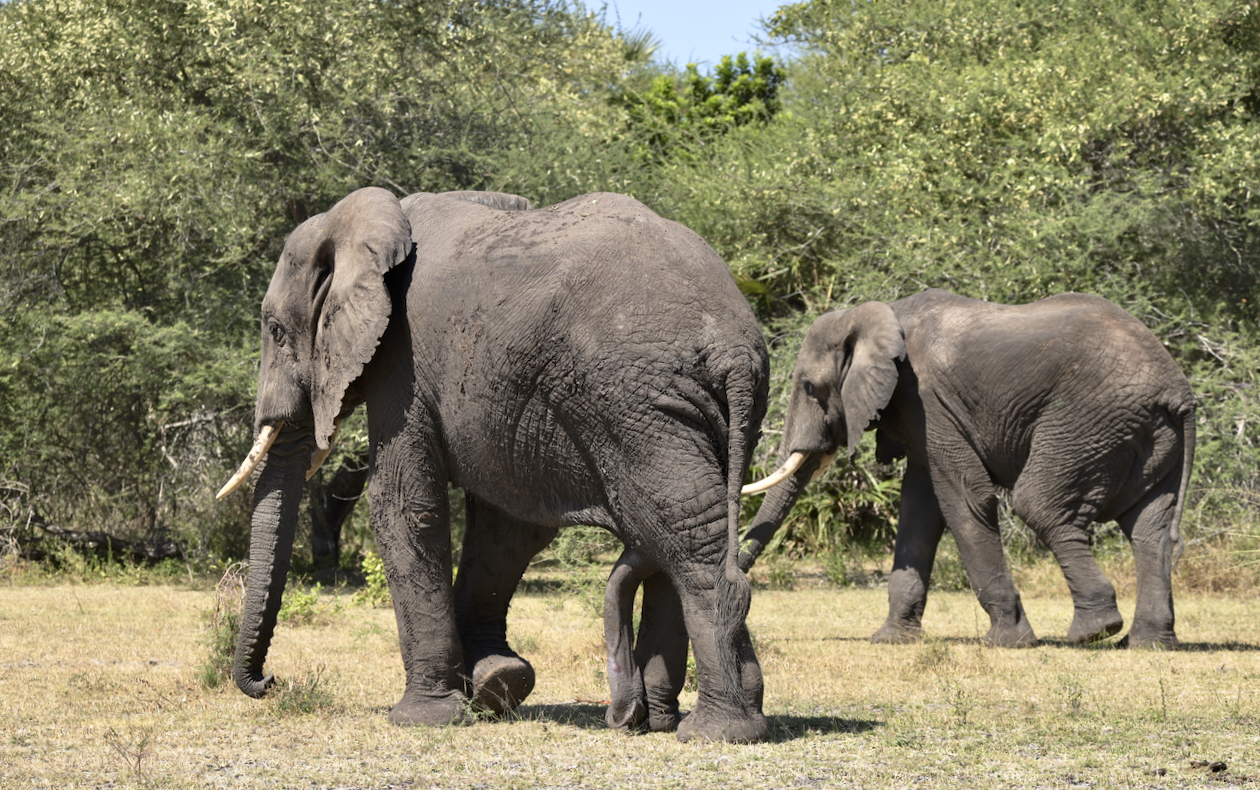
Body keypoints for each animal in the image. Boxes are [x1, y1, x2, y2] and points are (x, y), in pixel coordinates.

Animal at [215, 188, 766, 745]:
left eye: (276, 331)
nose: (269, 681)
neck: (365, 223)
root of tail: (733, 349)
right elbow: (508, 527)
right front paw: (498, 683)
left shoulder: (401, 359)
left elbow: (403, 506)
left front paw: (425, 717)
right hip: (687, 409)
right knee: (678, 530)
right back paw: (660, 720)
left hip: (635, 404)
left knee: (684, 532)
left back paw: (717, 730)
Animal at [740, 291, 1194, 650]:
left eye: (809, 387)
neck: (877, 314)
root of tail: (1178, 391)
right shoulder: (918, 412)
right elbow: (919, 508)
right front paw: (890, 640)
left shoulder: (927, 398)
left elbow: (964, 497)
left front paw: (1007, 642)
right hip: (1147, 436)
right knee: (1149, 528)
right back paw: (1149, 643)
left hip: (1088, 423)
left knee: (1039, 505)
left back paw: (1094, 631)